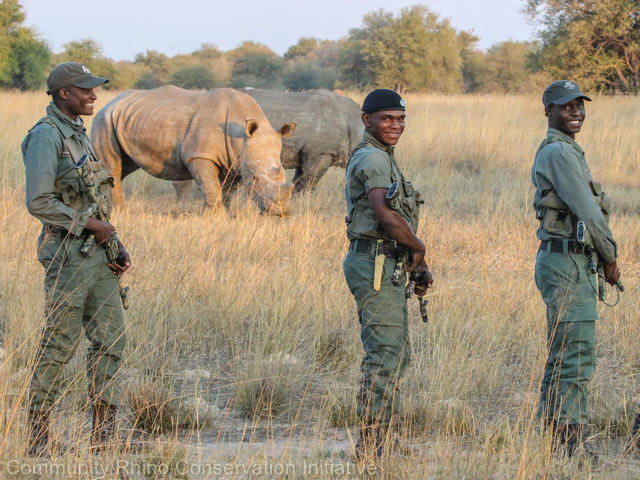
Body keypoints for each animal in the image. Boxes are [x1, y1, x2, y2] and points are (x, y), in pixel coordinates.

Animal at [91, 85, 296, 215]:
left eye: (283, 174)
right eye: (255, 179)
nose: (281, 213)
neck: (241, 136)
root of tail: (110, 102)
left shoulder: (236, 161)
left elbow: (228, 191)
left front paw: (228, 215)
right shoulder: (199, 156)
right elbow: (211, 187)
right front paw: (214, 217)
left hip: (126, 118)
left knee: (124, 166)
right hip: (103, 120)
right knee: (113, 165)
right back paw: (121, 212)